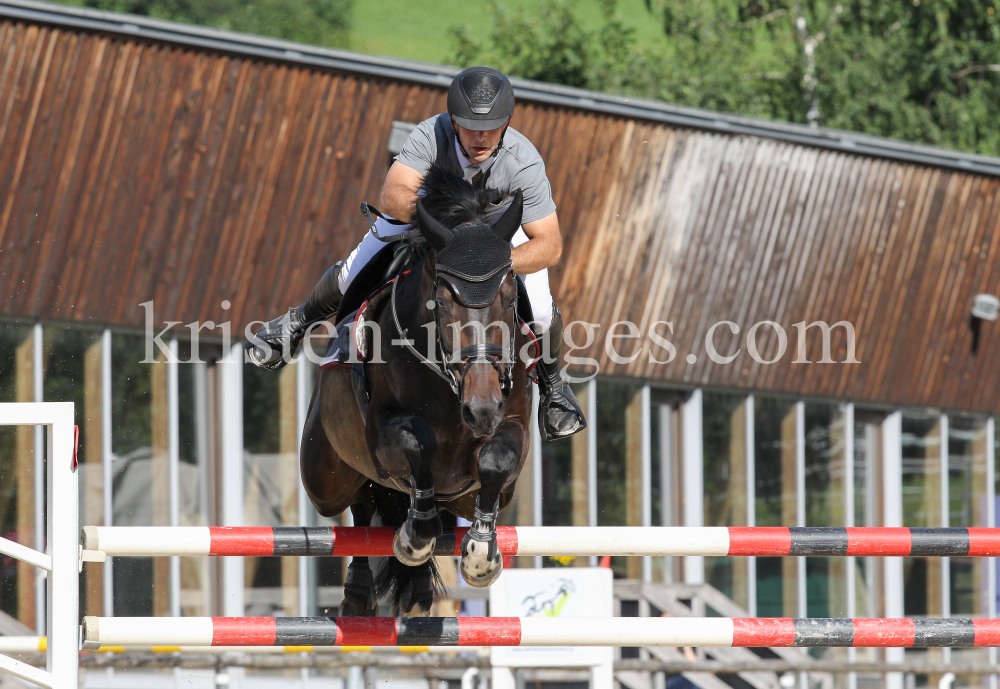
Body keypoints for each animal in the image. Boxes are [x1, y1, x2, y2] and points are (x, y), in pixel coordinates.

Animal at [300, 165, 536, 612]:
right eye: (441, 303)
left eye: (512, 297)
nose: (482, 408)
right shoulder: (381, 434)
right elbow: (418, 441)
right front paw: (415, 536)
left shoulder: (510, 427)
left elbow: (495, 461)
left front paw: (481, 555)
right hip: (324, 477)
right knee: (361, 505)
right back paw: (360, 592)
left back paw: (418, 589)